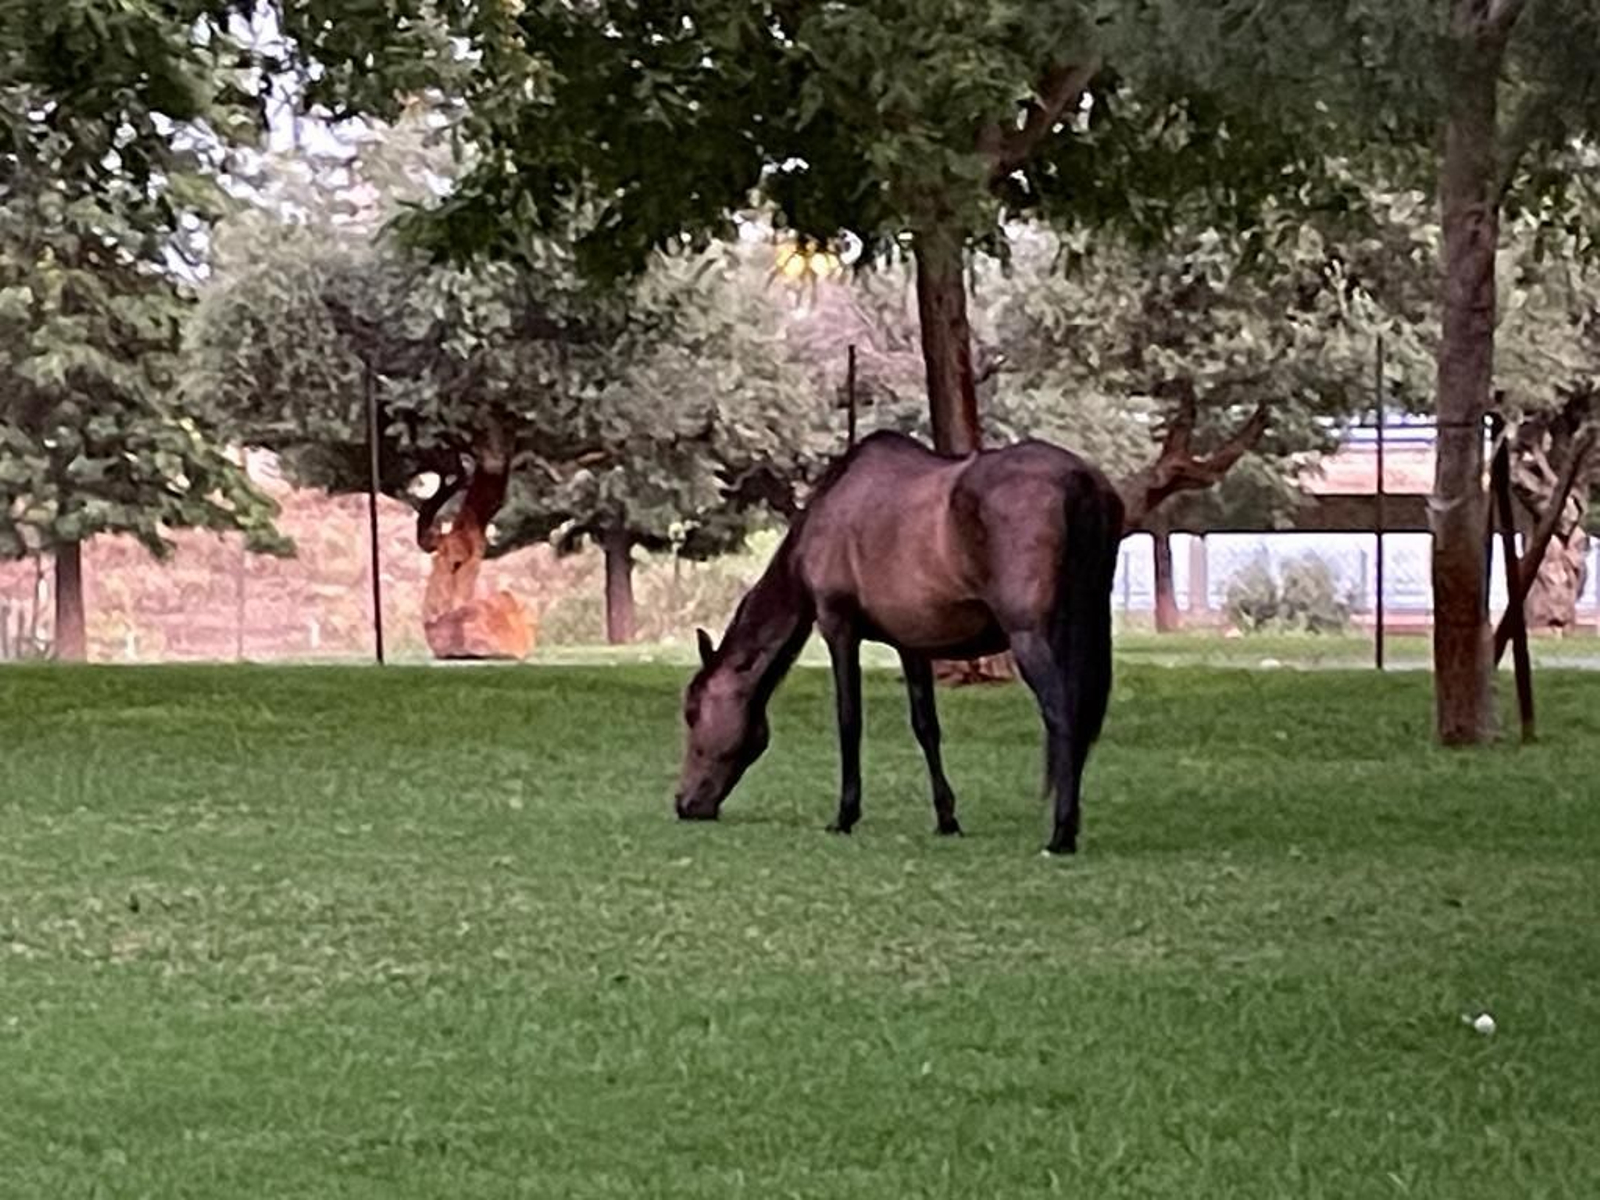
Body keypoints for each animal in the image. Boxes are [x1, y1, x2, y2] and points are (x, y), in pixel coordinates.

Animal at [674, 430, 1125, 855]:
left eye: (693, 713)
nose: (684, 804)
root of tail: (1078, 478)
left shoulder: (838, 626)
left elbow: (849, 720)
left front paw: (845, 815)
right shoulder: (912, 645)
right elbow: (926, 726)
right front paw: (947, 818)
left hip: (1030, 637)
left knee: (1062, 717)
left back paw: (1061, 833)